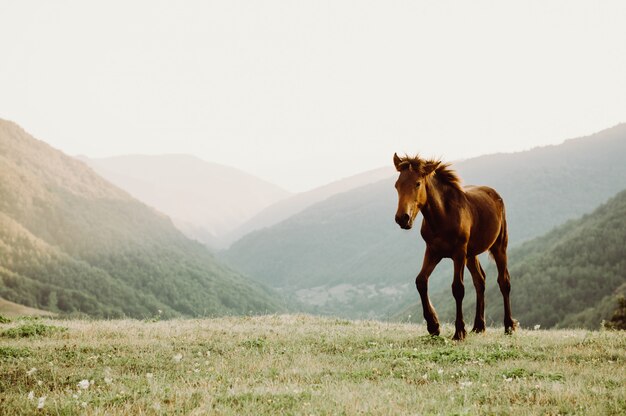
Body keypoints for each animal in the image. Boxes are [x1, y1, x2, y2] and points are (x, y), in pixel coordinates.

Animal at [392, 154, 516, 340]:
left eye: (417, 183)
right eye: (397, 185)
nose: (402, 218)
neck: (443, 216)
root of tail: (495, 194)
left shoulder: (458, 253)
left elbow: (458, 288)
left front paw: (459, 332)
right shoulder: (433, 251)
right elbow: (421, 281)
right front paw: (433, 326)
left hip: (498, 246)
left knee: (504, 281)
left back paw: (508, 326)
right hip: (471, 254)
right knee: (480, 280)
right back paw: (478, 326)